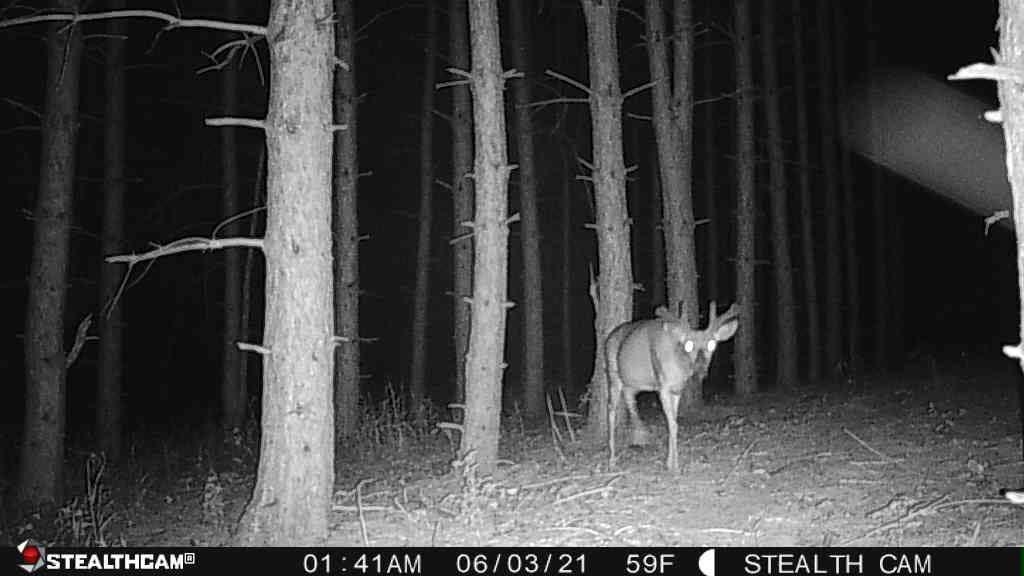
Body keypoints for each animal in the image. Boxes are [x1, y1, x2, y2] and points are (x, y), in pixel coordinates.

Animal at [605, 301, 739, 471]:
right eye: (688, 345)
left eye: (712, 344)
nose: (700, 368)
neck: (679, 366)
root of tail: (610, 336)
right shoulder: (663, 386)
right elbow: (672, 424)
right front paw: (675, 466)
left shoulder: (677, 390)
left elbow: (673, 422)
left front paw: (669, 462)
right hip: (613, 372)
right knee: (611, 409)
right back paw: (612, 460)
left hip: (631, 383)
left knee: (630, 399)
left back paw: (639, 435)